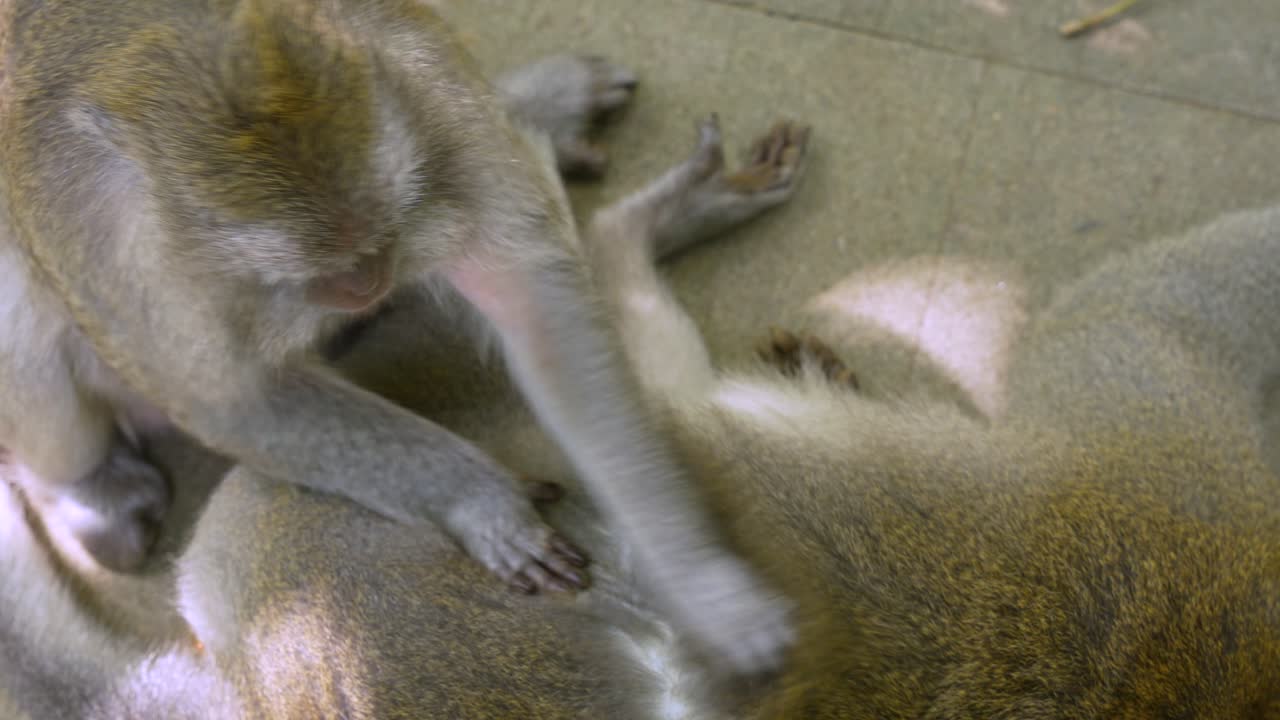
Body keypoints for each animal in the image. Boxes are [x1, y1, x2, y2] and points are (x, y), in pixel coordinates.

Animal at [0, 0, 790, 672]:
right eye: (318, 270)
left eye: (373, 243)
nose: (366, 283)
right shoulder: (126, 253)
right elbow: (229, 400)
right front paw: (481, 502)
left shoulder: (436, 109)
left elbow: (537, 308)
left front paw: (707, 589)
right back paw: (87, 495)